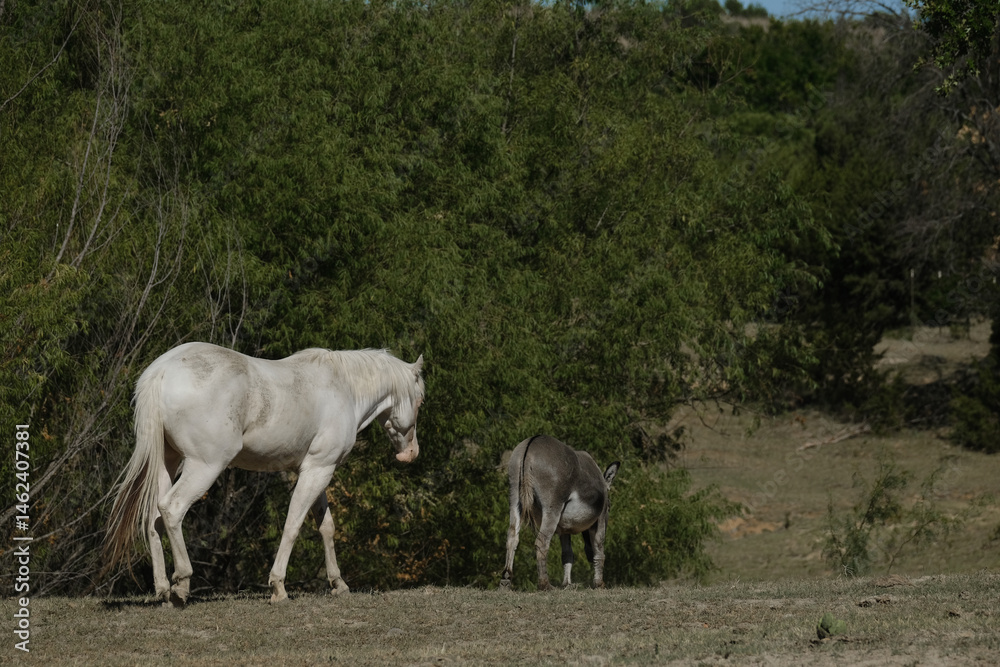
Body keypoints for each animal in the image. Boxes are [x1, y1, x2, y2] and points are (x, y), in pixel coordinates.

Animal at [103, 342, 425, 605]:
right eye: (420, 400)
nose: (411, 454)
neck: (343, 388)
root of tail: (162, 371)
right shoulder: (318, 471)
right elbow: (293, 525)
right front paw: (278, 587)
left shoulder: (316, 469)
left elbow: (326, 527)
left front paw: (338, 584)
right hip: (203, 467)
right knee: (172, 509)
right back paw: (181, 585)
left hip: (166, 465)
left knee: (153, 519)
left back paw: (162, 590)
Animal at [500, 435, 619, 591]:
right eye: (609, 506)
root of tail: (531, 444)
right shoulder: (600, 518)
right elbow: (599, 549)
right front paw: (599, 584)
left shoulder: (564, 529)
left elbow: (567, 554)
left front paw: (566, 584)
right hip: (552, 508)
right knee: (541, 542)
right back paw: (545, 584)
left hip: (514, 498)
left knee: (512, 537)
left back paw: (506, 580)